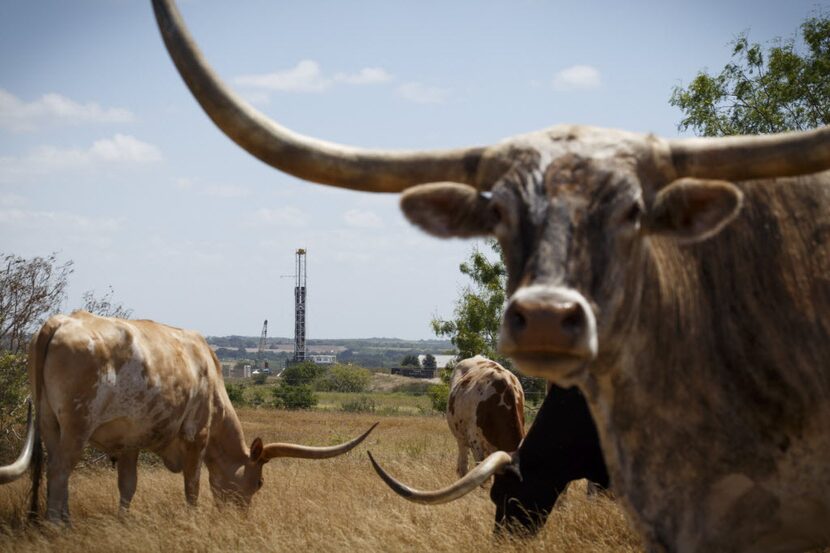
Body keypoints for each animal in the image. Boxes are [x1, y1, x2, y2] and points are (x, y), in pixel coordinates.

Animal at [4, 310, 376, 520]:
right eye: (258, 482)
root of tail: (58, 322)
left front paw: (123, 520)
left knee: (49, 468)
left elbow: (127, 487)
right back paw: (57, 523)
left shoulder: (129, 442)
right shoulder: (196, 436)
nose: (240, 519)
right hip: (76, 426)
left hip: (48, 422)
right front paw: (194, 519)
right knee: (59, 470)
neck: (211, 374)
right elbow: (193, 486)